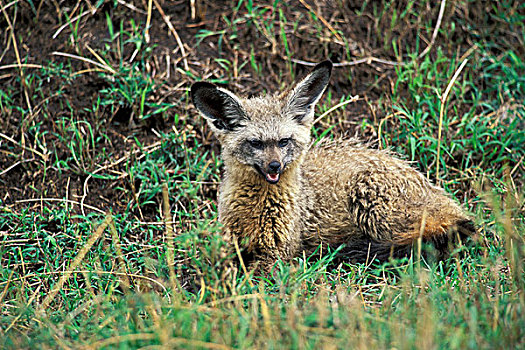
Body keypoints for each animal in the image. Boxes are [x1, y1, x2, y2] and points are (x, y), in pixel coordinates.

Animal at [189, 60, 474, 270]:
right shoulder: (228, 242)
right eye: (255, 143)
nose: (274, 166)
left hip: (371, 203)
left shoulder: (278, 252)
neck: (255, 210)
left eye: (284, 141)